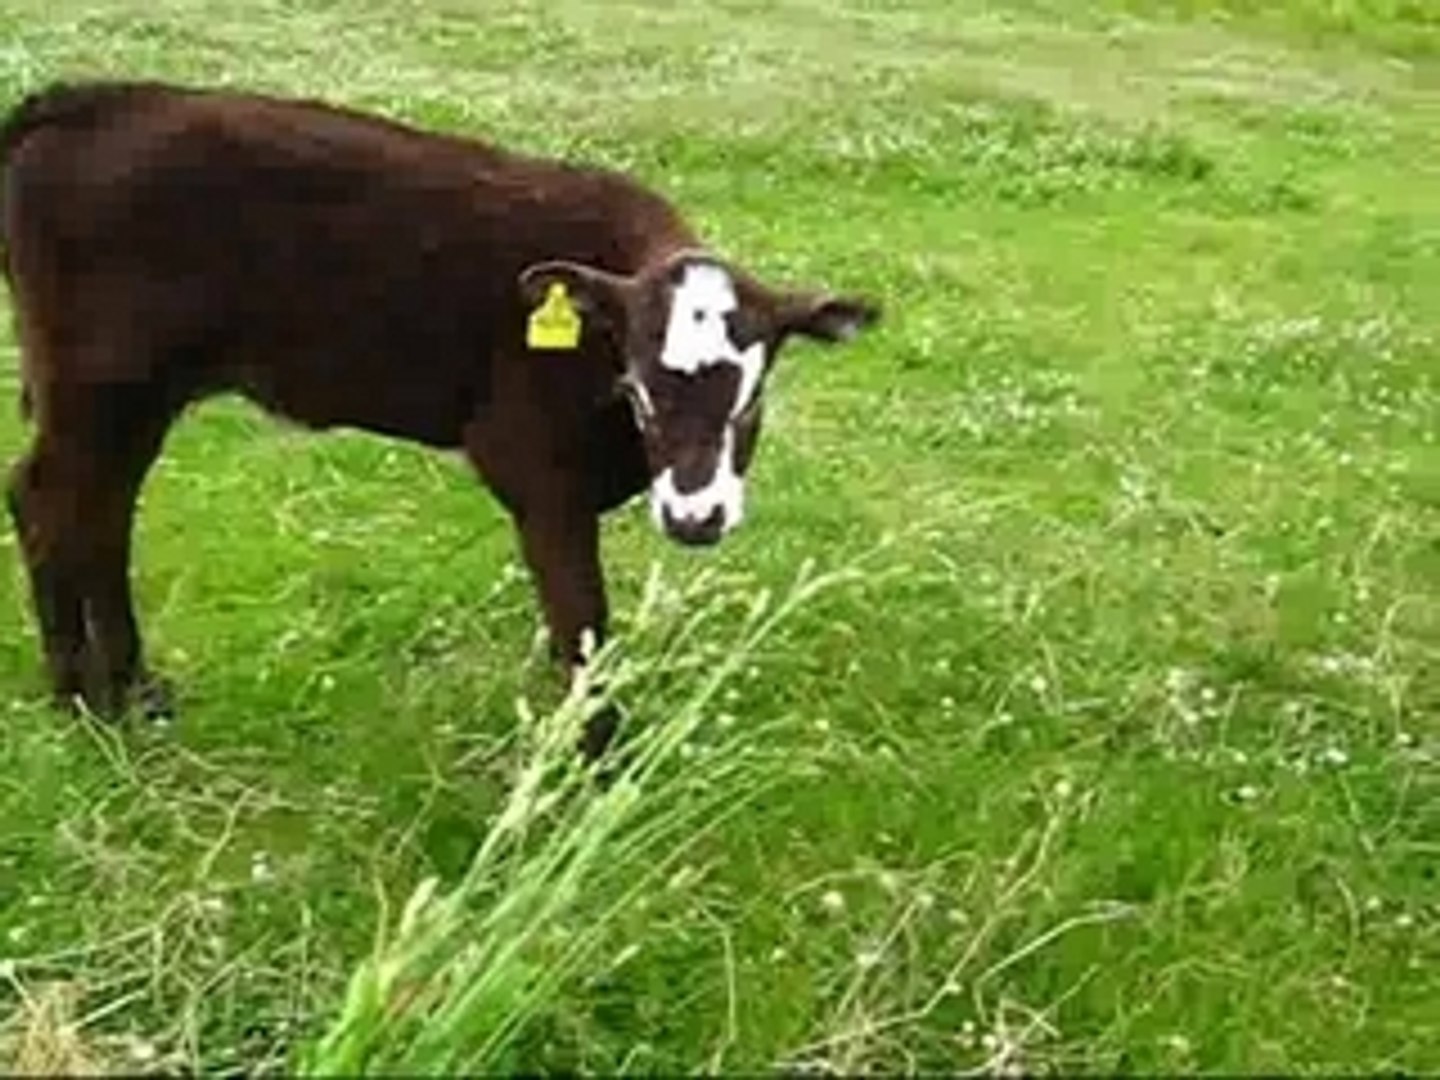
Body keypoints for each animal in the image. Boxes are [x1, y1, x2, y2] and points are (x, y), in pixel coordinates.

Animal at [0, 80, 879, 757]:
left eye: (753, 395)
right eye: (635, 388)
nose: (697, 518)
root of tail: (84, 101)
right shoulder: (534, 470)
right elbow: (583, 629)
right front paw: (593, 774)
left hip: (132, 397)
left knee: (100, 513)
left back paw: (134, 690)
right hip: (100, 387)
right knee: (52, 503)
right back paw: (80, 703)